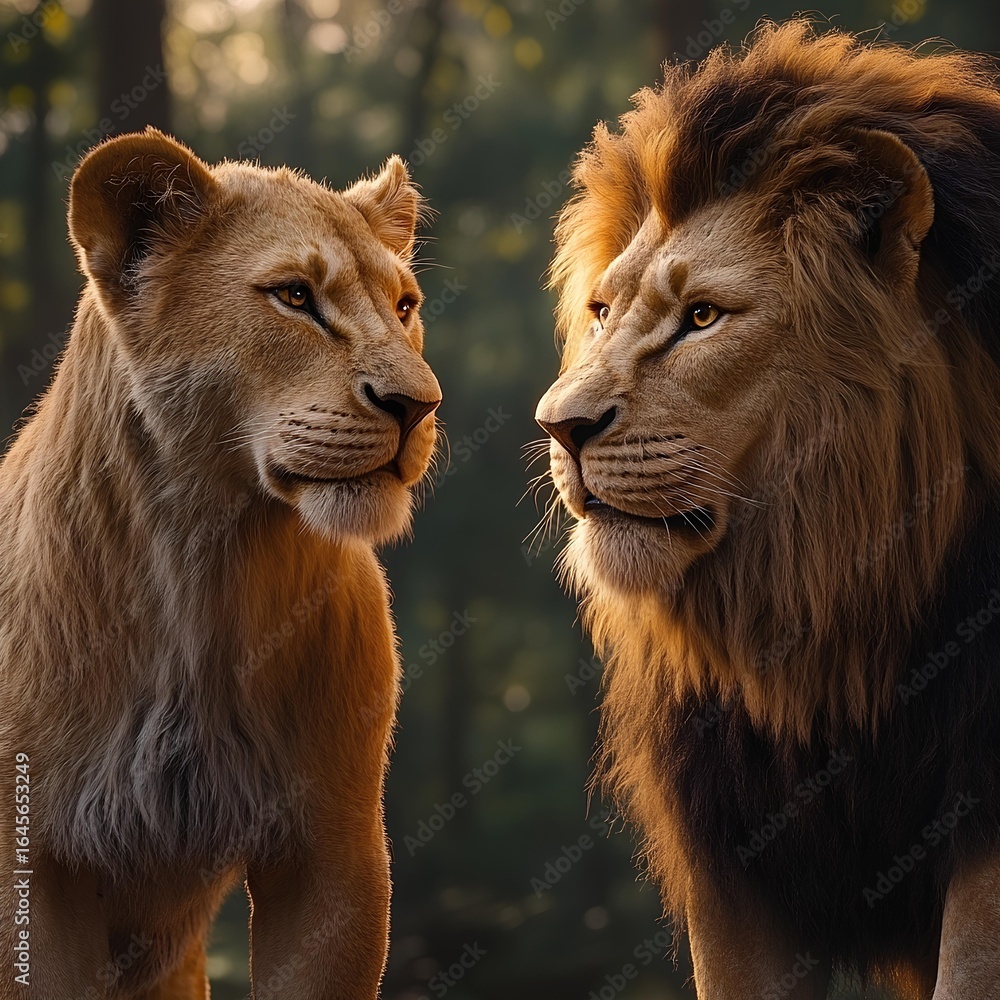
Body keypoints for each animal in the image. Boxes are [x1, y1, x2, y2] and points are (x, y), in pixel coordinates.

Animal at [0, 128, 440, 999]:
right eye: (296, 297)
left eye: (404, 306)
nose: (420, 405)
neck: (206, 562)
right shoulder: (32, 860)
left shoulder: (332, 850)